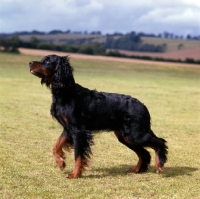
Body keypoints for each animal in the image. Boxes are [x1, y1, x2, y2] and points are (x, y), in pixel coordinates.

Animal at [29, 54, 167, 179]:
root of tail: (143, 106)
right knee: (144, 153)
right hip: (126, 137)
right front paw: (60, 162)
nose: (30, 63)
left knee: (160, 142)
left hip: (135, 135)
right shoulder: (68, 129)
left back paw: (159, 164)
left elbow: (77, 155)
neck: (66, 92)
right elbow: (56, 146)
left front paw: (75, 174)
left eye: (47, 61)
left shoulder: (78, 130)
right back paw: (137, 169)